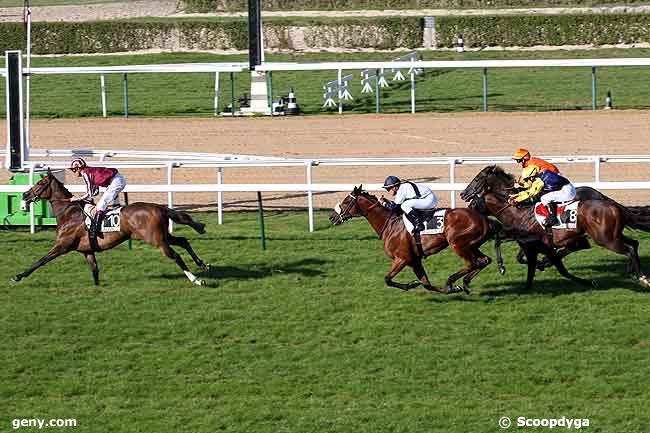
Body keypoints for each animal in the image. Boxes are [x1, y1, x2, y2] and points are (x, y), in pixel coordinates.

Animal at [11, 170, 209, 286]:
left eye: (39, 183)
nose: (25, 194)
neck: (69, 213)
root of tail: (158, 207)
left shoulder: (62, 246)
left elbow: (41, 260)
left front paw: (17, 276)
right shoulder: (87, 250)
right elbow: (95, 270)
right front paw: (97, 288)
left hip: (155, 239)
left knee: (175, 255)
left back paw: (196, 279)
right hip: (162, 236)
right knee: (183, 241)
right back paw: (203, 264)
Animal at [332, 185, 494, 294]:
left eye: (346, 201)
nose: (332, 217)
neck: (390, 225)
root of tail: (484, 219)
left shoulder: (402, 259)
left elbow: (387, 279)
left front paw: (413, 284)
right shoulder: (414, 261)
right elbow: (426, 284)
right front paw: (420, 284)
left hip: (457, 244)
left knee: (472, 263)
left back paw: (451, 281)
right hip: (471, 246)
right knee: (484, 260)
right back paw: (465, 284)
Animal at [458, 165, 648, 290]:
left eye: (477, 178)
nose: (462, 194)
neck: (518, 209)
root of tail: (611, 203)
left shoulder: (530, 240)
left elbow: (521, 255)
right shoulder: (521, 237)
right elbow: (514, 251)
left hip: (605, 239)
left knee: (628, 248)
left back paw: (641, 276)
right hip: (609, 235)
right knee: (634, 244)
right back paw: (633, 272)